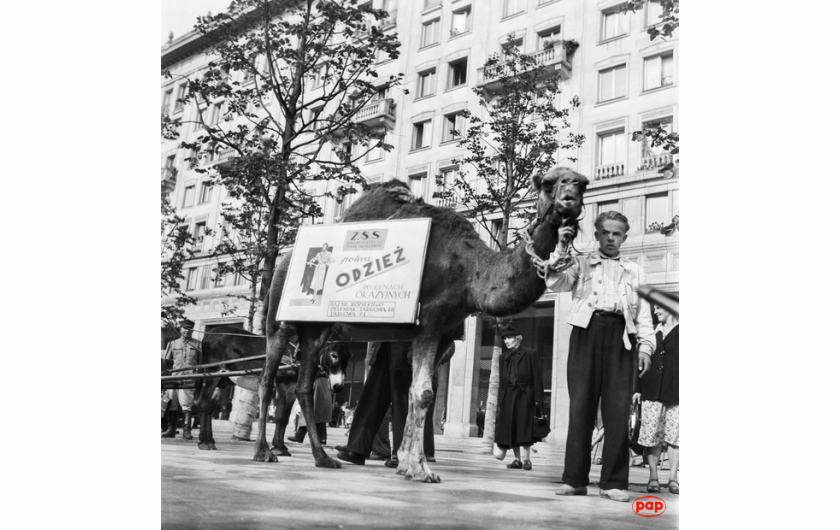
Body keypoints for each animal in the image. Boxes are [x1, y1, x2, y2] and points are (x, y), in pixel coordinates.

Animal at [195, 324, 350, 452]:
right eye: (334, 355)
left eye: (349, 358)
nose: (338, 387)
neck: (297, 354)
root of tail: (209, 333)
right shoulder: (282, 386)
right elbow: (280, 416)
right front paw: (278, 448)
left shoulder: (291, 391)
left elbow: (284, 419)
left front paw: (281, 447)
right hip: (212, 375)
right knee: (204, 404)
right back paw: (205, 443)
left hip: (223, 381)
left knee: (209, 407)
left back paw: (208, 440)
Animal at [253, 167, 588, 480]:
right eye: (549, 183)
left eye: (582, 183)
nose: (570, 198)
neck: (470, 272)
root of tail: (282, 261)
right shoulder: (429, 319)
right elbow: (423, 392)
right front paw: (420, 469)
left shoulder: (445, 332)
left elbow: (416, 391)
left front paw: (406, 463)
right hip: (280, 319)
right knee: (267, 377)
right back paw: (264, 452)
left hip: (315, 330)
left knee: (304, 385)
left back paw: (323, 458)